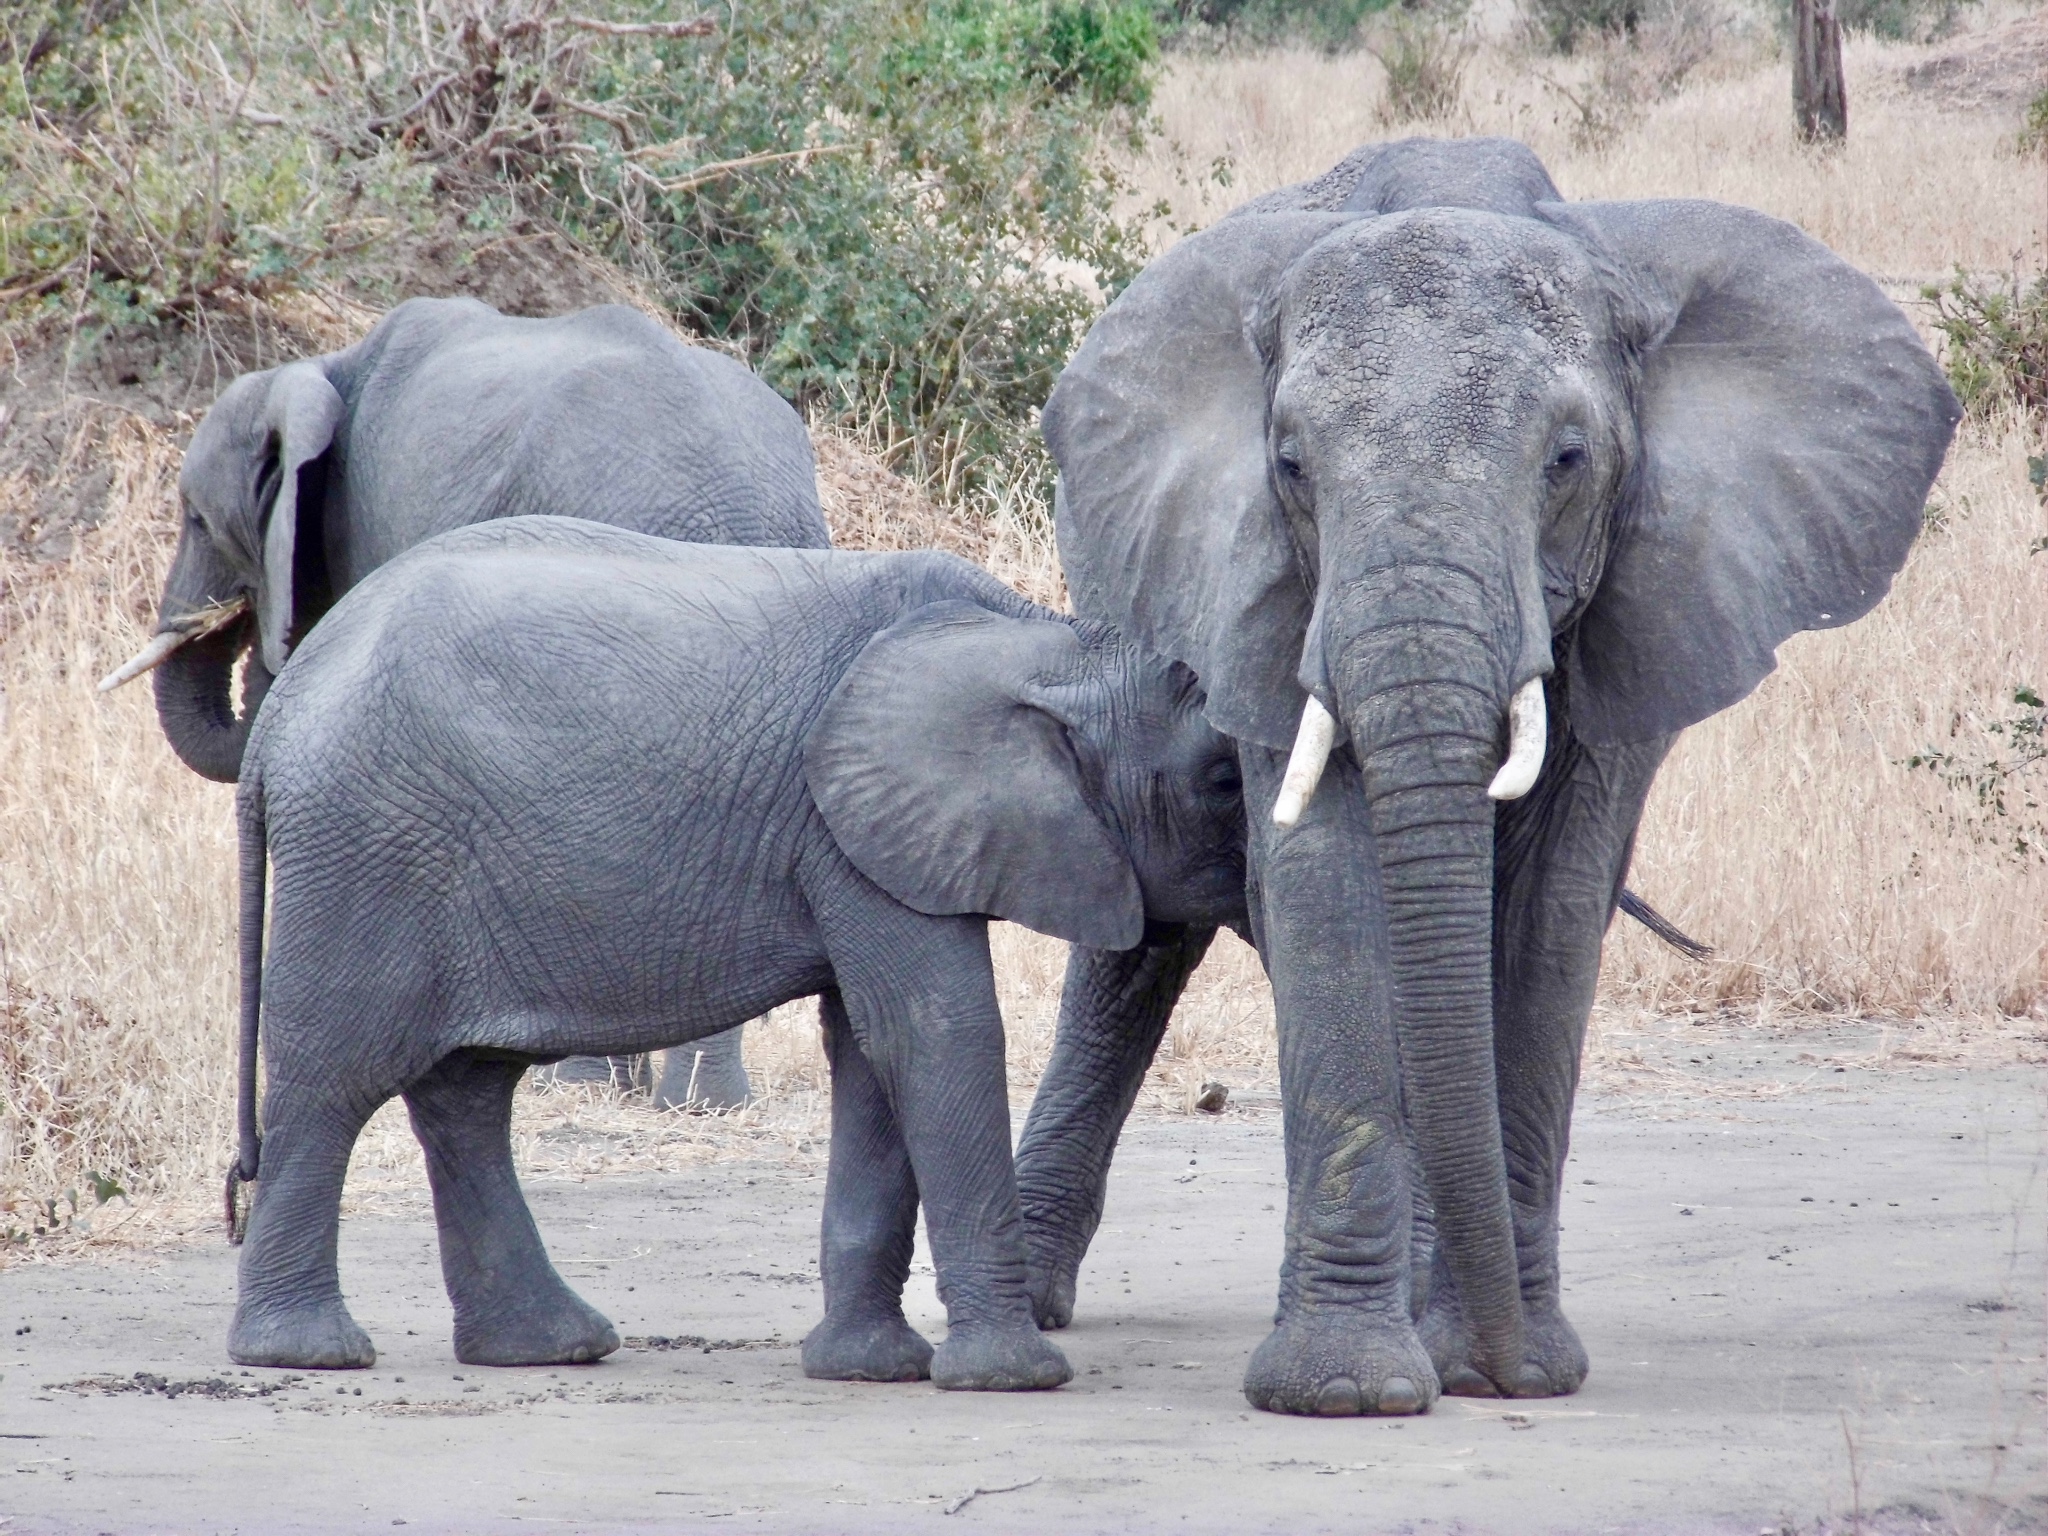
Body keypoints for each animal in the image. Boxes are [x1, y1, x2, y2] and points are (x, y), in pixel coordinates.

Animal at [226, 520, 1245, 1392]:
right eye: (1224, 780)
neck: (1051, 637)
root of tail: (277, 719)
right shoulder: (854, 823)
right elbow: (936, 1033)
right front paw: (1013, 1378)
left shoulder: (859, 832)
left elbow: (869, 1050)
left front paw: (868, 1371)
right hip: (366, 849)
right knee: (334, 1081)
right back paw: (306, 1354)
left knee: (467, 1092)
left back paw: (547, 1347)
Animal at [1015, 135, 1957, 1417]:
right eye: (1289, 465)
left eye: (1565, 461)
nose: (1508, 1372)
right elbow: (1326, 893)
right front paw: (1344, 1392)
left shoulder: (1643, 603)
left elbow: (1548, 916)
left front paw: (1501, 1368)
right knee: (1136, 956)